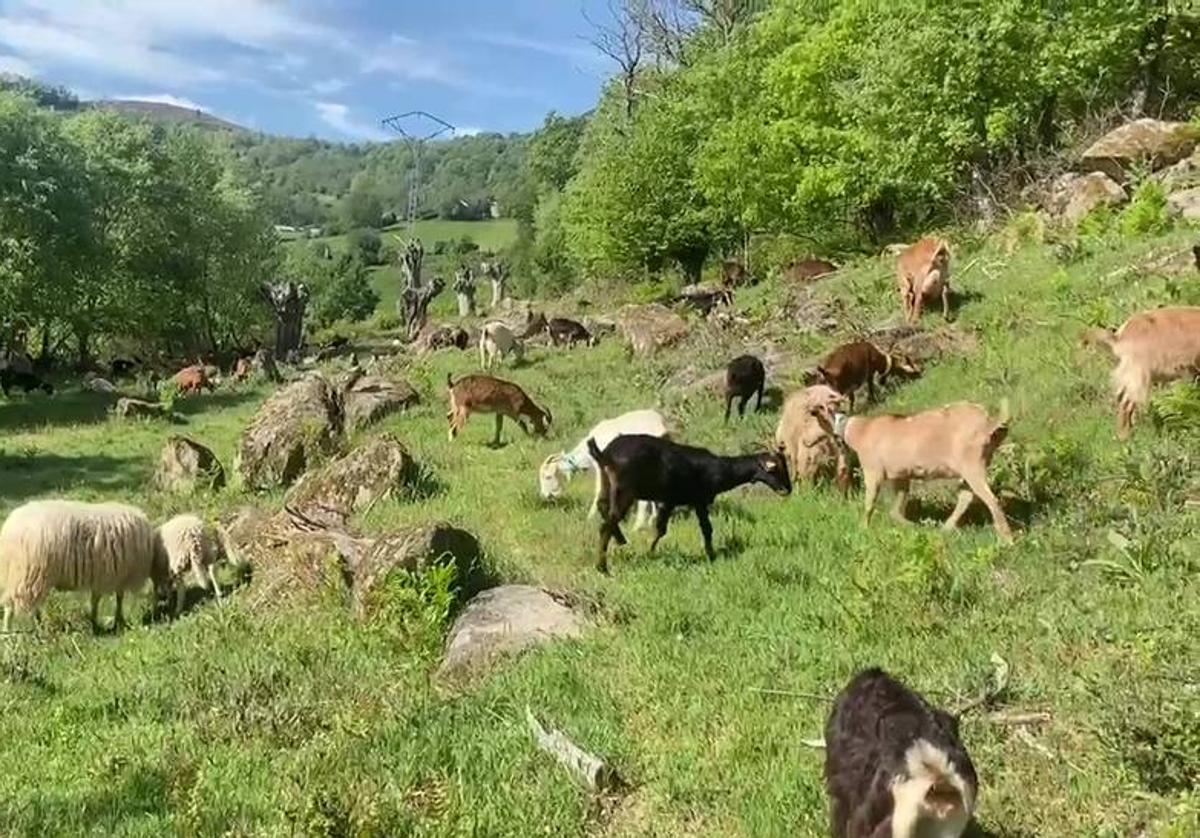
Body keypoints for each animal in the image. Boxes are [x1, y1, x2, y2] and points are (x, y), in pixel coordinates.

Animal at [542, 405, 672, 528]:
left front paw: (590, 517)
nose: (545, 495)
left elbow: (601, 489)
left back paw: (638, 526)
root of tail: (661, 425)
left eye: (548, 476)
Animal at [585, 434, 792, 571]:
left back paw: (621, 540)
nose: (787, 489)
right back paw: (602, 567)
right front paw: (711, 555)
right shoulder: (699, 500)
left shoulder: (669, 500)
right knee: (606, 523)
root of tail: (606, 454)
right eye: (774, 468)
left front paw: (650, 552)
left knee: (603, 508)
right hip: (625, 490)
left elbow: (661, 529)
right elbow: (707, 529)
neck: (719, 469)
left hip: (606, 482)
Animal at [816, 400, 1012, 545]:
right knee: (967, 496)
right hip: (974, 465)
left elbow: (869, 504)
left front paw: (863, 529)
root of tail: (988, 422)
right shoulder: (902, 475)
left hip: (972, 464)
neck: (860, 431)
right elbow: (896, 508)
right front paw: (914, 527)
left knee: (989, 499)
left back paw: (1007, 539)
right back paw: (945, 529)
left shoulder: (873, 471)